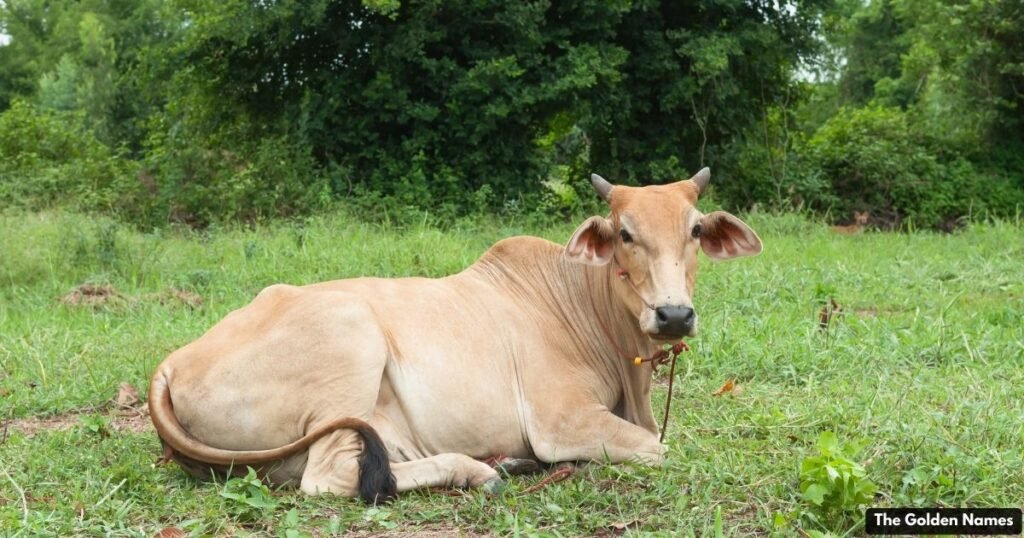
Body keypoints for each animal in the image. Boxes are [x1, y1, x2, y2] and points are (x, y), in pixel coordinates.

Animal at [148, 168, 762, 503]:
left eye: (696, 230)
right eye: (625, 234)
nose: (674, 315)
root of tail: (171, 365)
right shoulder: (560, 420)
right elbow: (655, 449)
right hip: (350, 338)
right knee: (330, 476)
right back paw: (479, 471)